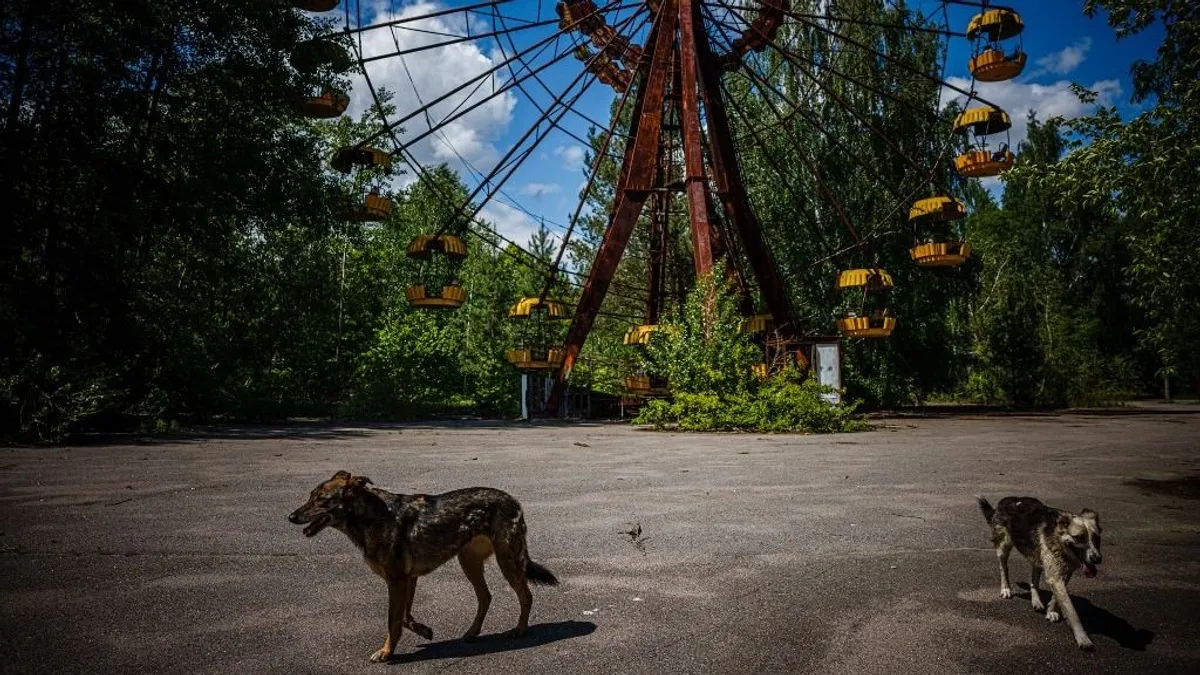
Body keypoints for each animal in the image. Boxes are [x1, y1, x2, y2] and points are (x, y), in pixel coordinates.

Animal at [288, 470, 559, 658]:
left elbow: (393, 620)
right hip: (468, 562)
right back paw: (473, 632)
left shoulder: (397, 580)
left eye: (322, 500)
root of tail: (513, 499)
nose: (291, 516)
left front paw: (387, 653)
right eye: (310, 496)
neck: (372, 517)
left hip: (507, 561)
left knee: (525, 595)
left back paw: (520, 629)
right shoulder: (408, 579)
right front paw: (423, 630)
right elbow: (404, 617)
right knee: (486, 597)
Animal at [974, 494, 1104, 648]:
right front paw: (1082, 637)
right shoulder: (1055, 576)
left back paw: (1036, 600)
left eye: (1097, 538)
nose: (1097, 559)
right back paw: (1006, 588)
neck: (1059, 540)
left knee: (1034, 579)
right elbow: (1071, 609)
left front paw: (1052, 610)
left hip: (1036, 554)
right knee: (1003, 568)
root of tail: (1006, 500)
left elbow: (1058, 596)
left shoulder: (1064, 572)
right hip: (1003, 547)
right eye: (1079, 537)